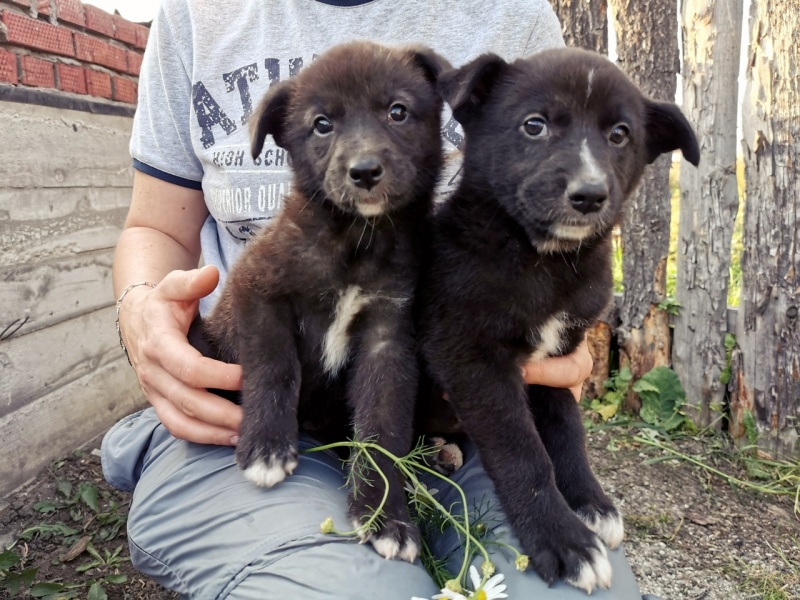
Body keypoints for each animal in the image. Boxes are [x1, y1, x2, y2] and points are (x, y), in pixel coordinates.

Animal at [189, 43, 450, 564]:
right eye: (322, 124)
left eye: (397, 111)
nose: (364, 171)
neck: (356, 241)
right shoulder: (257, 291)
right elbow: (275, 368)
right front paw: (266, 447)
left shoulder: (388, 334)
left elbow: (381, 428)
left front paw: (385, 515)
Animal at [418, 49, 700, 592]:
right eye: (535, 125)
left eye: (619, 134)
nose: (589, 195)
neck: (543, 261)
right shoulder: (470, 359)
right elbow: (522, 450)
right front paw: (562, 539)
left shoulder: (559, 352)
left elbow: (567, 428)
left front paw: (590, 502)